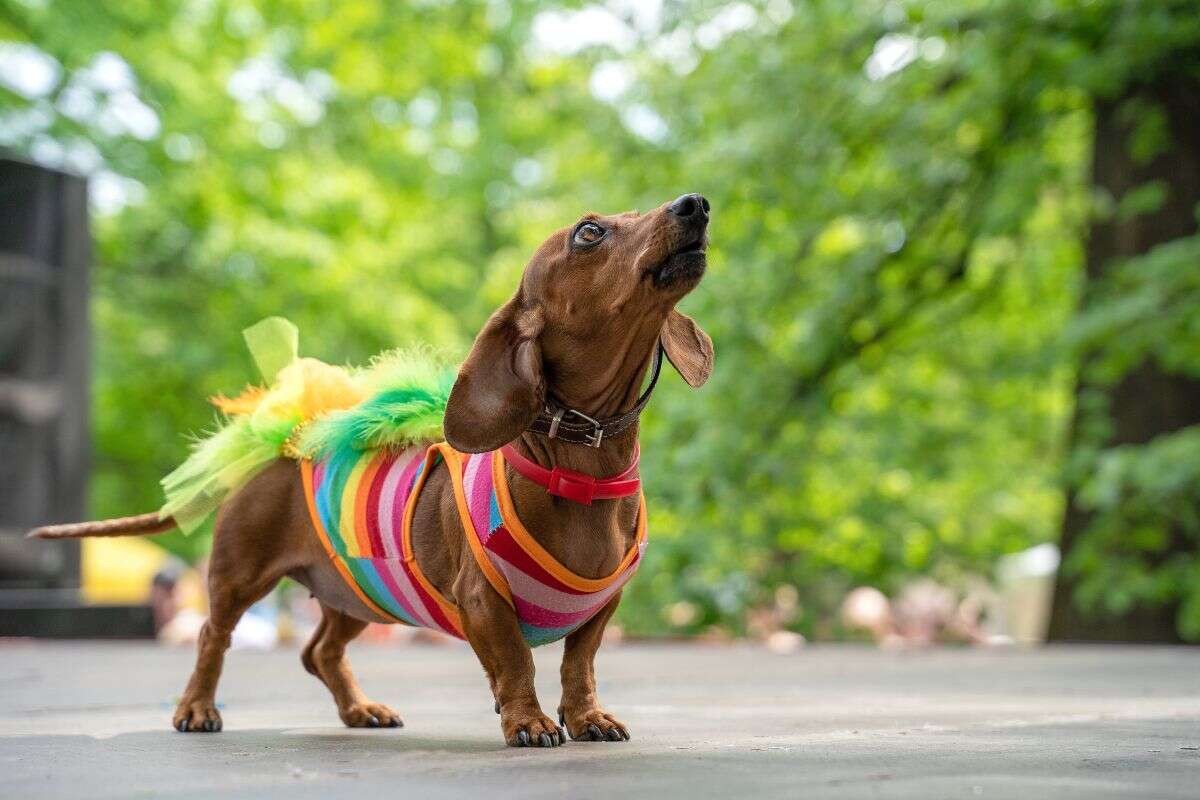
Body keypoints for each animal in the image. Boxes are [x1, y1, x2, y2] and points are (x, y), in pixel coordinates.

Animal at [32, 190, 710, 748]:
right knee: (212, 638)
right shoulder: (481, 600)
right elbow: (516, 662)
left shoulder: (602, 607)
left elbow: (579, 664)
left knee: (319, 652)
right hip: (237, 577)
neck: (582, 463)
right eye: (589, 232)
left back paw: (360, 710)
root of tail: (275, 446)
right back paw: (197, 708)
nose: (696, 204)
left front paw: (587, 716)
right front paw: (527, 720)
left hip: (357, 591)